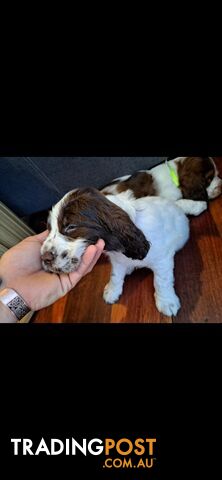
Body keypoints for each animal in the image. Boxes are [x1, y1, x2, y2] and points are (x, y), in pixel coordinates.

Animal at [40, 187, 189, 316]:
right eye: (49, 229)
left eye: (71, 226)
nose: (44, 258)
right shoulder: (117, 261)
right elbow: (115, 276)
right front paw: (112, 291)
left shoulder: (162, 260)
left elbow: (161, 281)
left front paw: (167, 302)